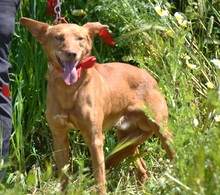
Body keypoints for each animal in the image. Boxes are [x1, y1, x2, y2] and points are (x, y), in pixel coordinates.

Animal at [19, 17, 174, 194]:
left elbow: (100, 179)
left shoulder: (95, 139)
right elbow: (63, 177)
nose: (72, 54)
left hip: (161, 131)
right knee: (142, 168)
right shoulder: (59, 137)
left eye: (80, 38)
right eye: (59, 37)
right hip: (126, 136)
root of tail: (152, 78)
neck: (69, 90)